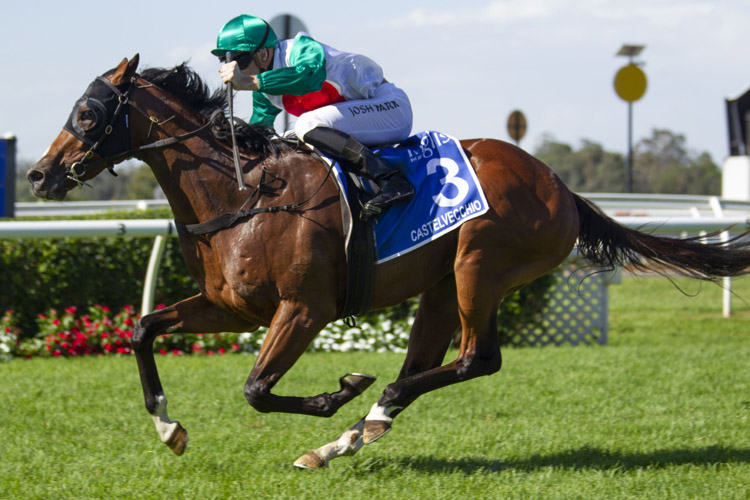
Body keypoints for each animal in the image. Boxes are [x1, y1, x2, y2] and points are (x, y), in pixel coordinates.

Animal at [27, 58, 750, 468]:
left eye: (87, 113)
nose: (38, 175)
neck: (242, 192)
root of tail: (560, 186)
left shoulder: (304, 309)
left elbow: (256, 388)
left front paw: (338, 390)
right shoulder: (231, 305)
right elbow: (144, 329)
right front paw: (169, 427)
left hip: (480, 265)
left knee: (476, 359)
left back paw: (362, 414)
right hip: (441, 285)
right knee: (428, 362)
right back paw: (347, 437)